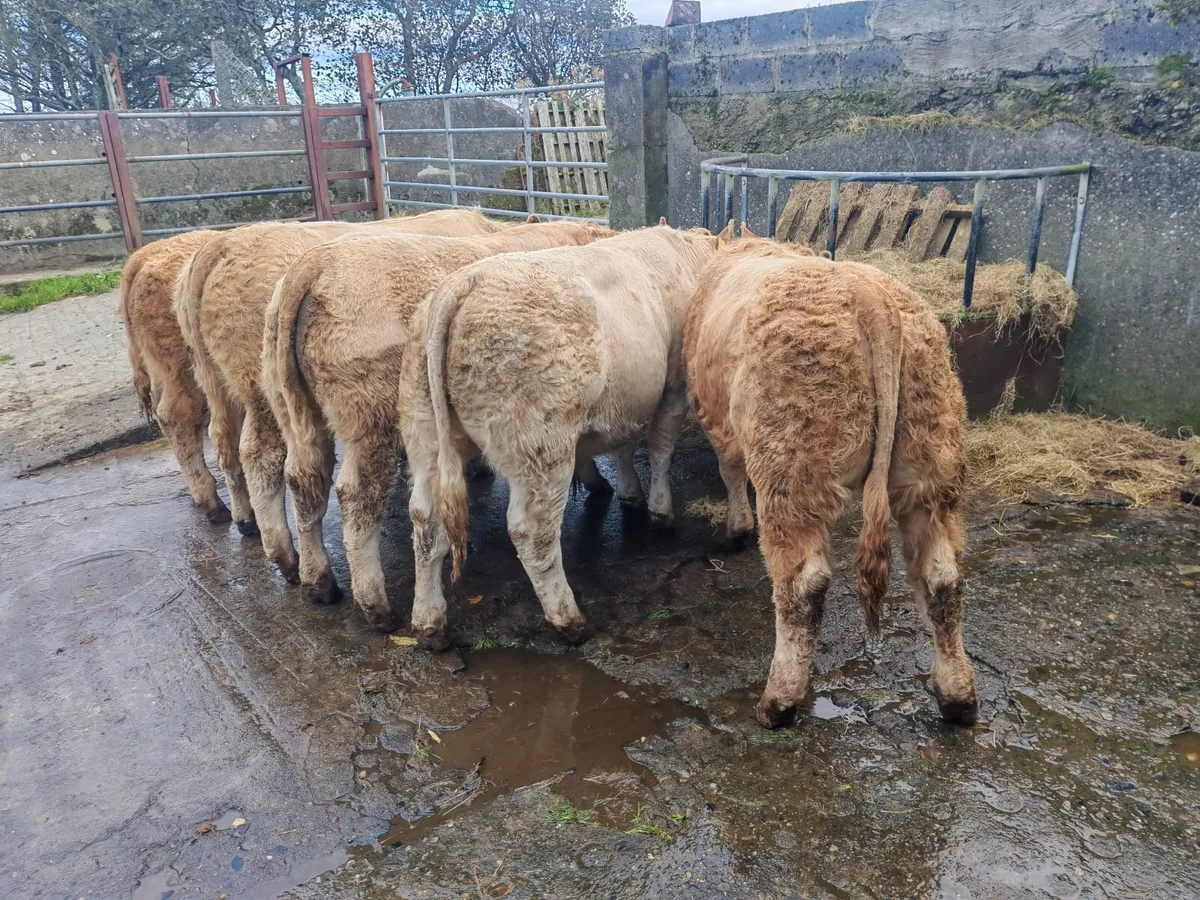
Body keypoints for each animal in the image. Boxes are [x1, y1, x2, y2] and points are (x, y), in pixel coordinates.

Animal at [264, 218, 614, 630]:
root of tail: (313, 263)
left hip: (291, 409)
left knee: (302, 478)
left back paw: (316, 581)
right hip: (370, 418)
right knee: (356, 495)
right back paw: (376, 607)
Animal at [397, 223, 719, 649]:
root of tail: (465, 281)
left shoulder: (626, 398)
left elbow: (624, 446)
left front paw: (626, 491)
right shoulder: (672, 387)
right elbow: (661, 450)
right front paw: (661, 512)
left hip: (424, 435)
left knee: (425, 521)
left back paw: (429, 624)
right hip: (542, 444)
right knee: (532, 531)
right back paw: (569, 619)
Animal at [682, 229, 977, 728]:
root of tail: (870, 293)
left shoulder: (717, 418)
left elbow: (730, 470)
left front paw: (736, 530)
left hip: (793, 466)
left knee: (803, 585)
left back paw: (777, 702)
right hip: (931, 468)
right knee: (941, 578)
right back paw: (957, 698)